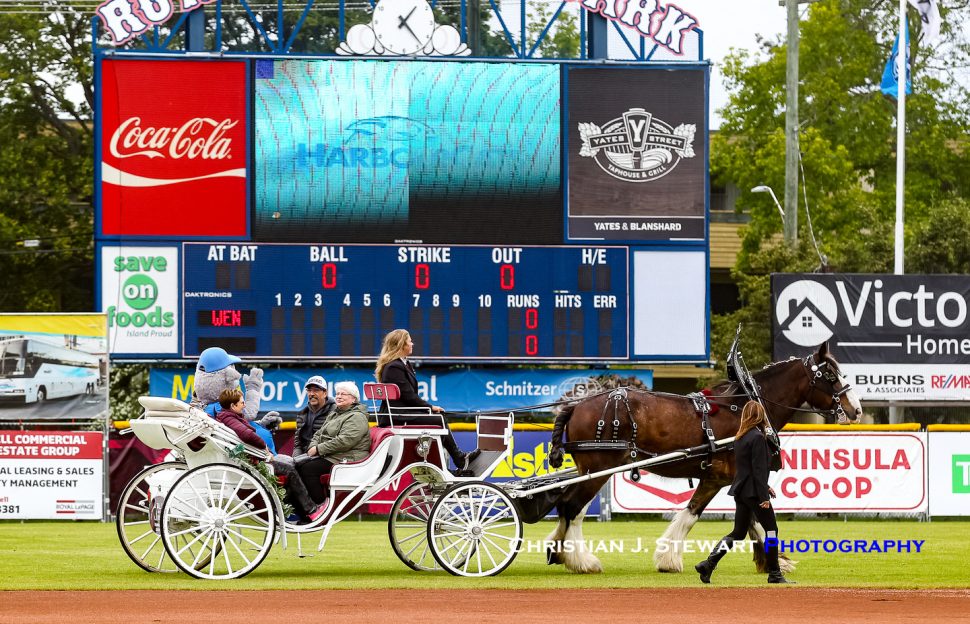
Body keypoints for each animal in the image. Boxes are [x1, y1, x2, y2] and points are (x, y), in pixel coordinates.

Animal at [544, 344, 864, 572]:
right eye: (831, 376)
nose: (857, 409)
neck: (746, 404)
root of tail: (576, 406)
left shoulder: (730, 478)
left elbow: (737, 519)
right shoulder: (721, 477)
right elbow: (700, 515)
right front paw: (670, 558)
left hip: (590, 470)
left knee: (566, 505)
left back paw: (557, 550)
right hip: (599, 468)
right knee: (572, 508)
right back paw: (582, 561)